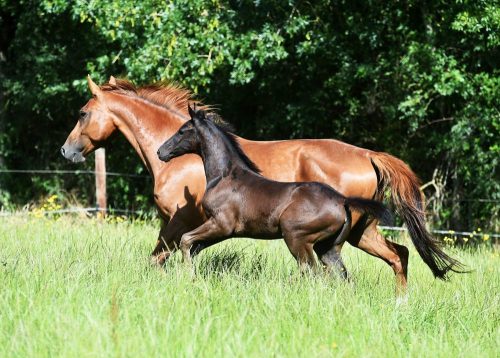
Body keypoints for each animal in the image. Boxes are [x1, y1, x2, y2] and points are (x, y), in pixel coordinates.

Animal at [60, 75, 462, 294]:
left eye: (83, 113)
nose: (66, 151)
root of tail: (369, 155)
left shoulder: (179, 220)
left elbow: (161, 257)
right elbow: (167, 256)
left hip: (342, 235)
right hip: (359, 233)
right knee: (399, 255)